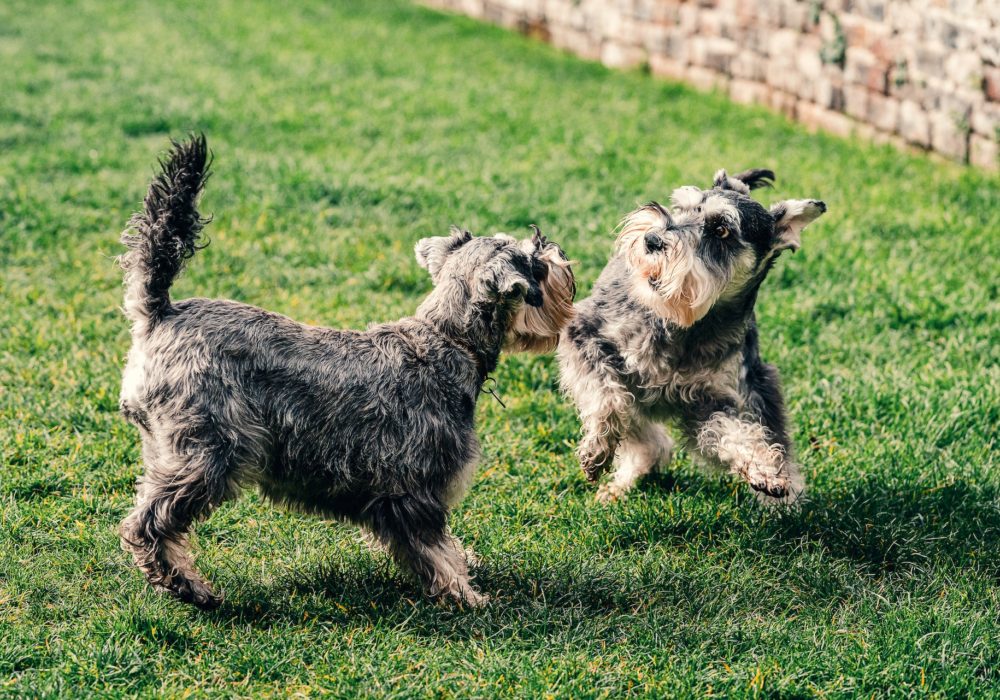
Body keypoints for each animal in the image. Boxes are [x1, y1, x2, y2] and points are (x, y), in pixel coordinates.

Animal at [115, 135, 580, 608]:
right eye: (533, 262)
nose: (555, 250)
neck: (448, 340)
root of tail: (160, 314)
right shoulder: (415, 490)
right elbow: (434, 549)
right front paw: (466, 596)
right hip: (210, 455)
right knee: (148, 524)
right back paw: (190, 587)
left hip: (167, 450)